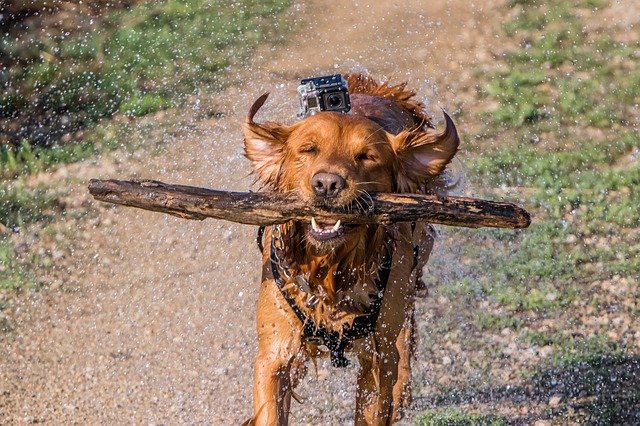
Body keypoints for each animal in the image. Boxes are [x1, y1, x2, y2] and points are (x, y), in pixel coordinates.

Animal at [242, 75, 458, 424]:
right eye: (308, 149)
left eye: (367, 156)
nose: (327, 184)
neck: (331, 268)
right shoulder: (274, 353)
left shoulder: (376, 357)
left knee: (406, 334)